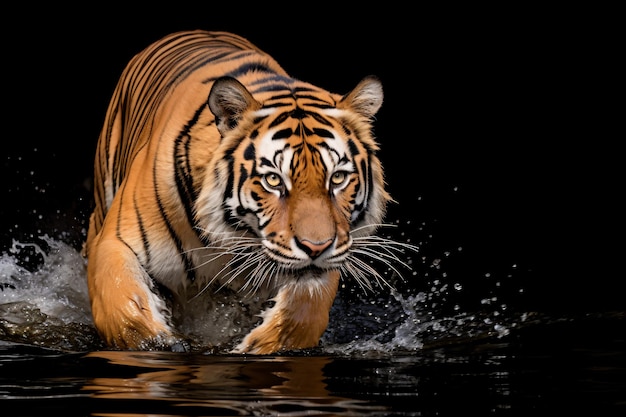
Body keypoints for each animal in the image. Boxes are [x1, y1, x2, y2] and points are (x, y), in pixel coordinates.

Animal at [84, 30, 414, 352]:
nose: (316, 248)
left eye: (338, 178)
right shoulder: (115, 241)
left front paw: (255, 346)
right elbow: (122, 305)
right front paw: (160, 342)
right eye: (274, 181)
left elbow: (303, 310)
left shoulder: (328, 257)